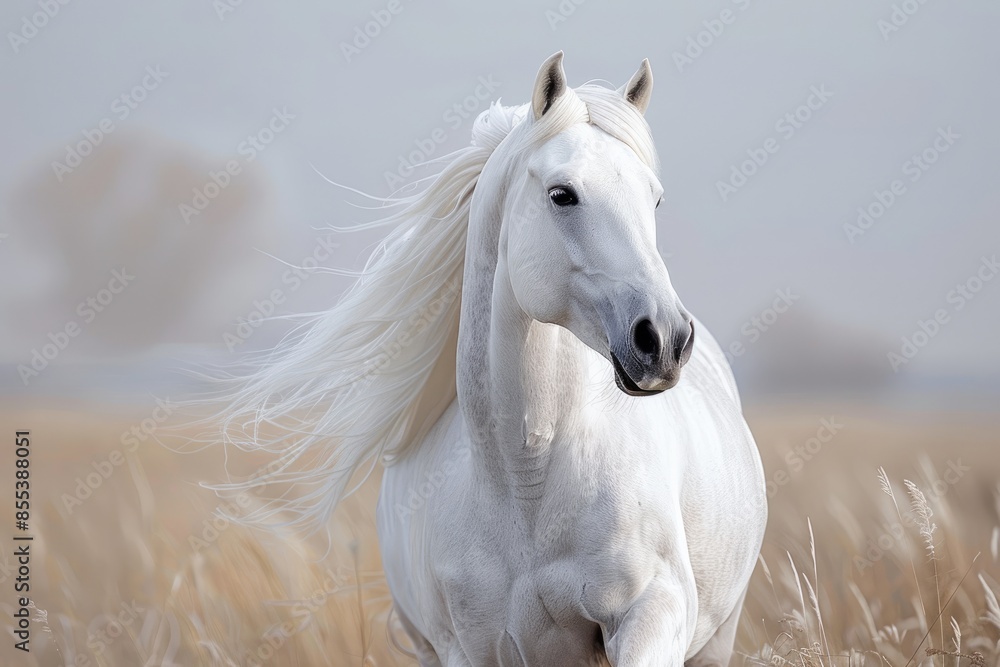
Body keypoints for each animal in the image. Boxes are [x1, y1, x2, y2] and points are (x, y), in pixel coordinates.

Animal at [211, 52, 767, 666]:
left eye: (656, 199)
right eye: (562, 194)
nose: (664, 340)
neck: (529, 483)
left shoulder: (650, 618)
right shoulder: (470, 648)